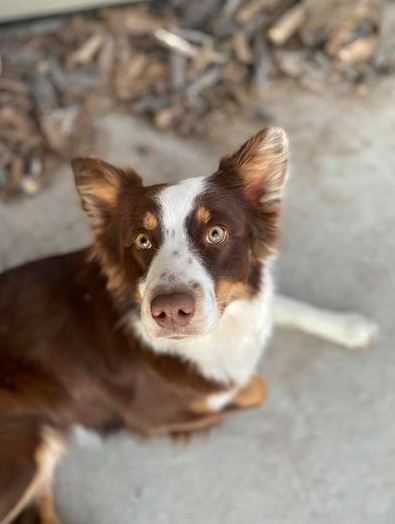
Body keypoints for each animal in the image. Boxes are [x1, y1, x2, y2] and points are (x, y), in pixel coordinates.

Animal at [0, 128, 378, 524]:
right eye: (142, 240)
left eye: (215, 233)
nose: (169, 311)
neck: (215, 335)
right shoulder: (153, 415)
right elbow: (250, 387)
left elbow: (284, 306)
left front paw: (350, 327)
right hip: (24, 452)